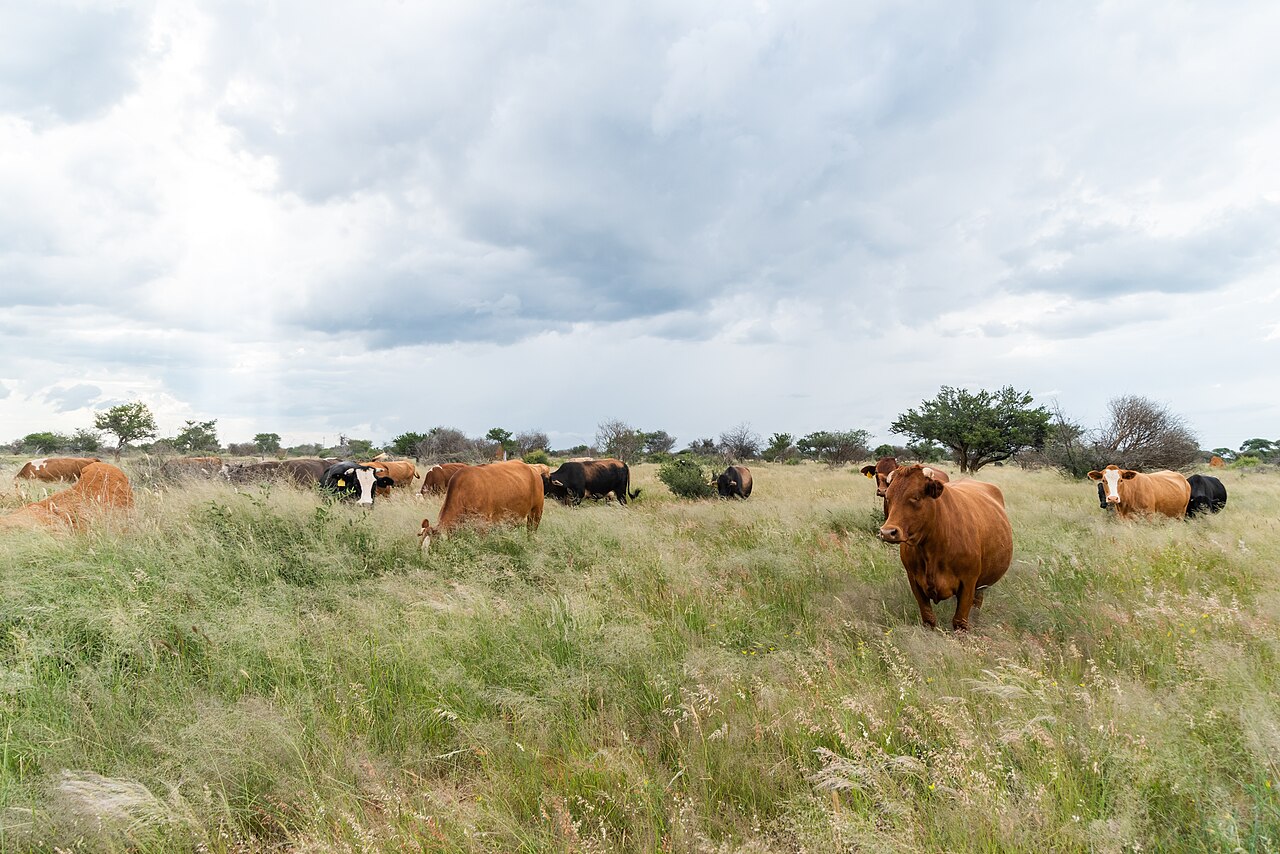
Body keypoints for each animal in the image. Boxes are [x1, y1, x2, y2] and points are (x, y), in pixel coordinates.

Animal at [877, 465, 1013, 632]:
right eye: (888, 498)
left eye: (915, 497)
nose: (887, 532)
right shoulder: (914, 580)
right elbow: (928, 618)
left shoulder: (969, 583)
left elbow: (959, 621)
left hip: (981, 585)